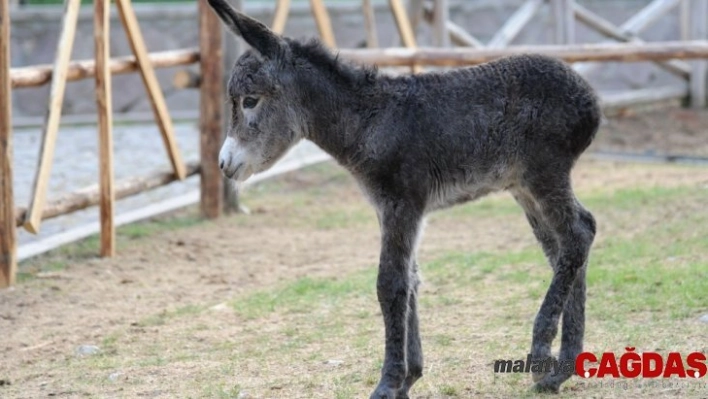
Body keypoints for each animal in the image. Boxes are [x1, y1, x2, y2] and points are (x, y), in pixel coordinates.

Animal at [207, 0, 600, 396]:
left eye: (250, 100)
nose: (224, 164)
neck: (369, 121)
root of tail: (589, 96)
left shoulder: (402, 204)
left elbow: (390, 284)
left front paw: (388, 383)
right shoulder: (392, 210)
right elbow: (410, 280)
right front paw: (409, 378)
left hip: (544, 172)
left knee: (579, 233)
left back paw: (541, 351)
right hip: (524, 187)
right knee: (566, 246)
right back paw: (560, 369)